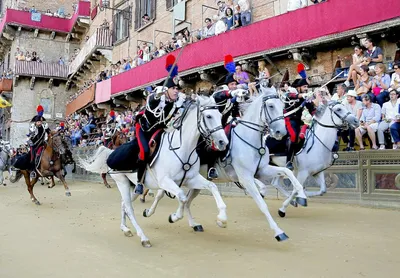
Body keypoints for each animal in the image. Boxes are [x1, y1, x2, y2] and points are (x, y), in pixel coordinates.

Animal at [79, 96, 228, 248]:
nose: (223, 142)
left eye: (220, 115)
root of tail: (111, 152)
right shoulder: (166, 182)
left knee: (124, 205)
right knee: (129, 208)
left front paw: (222, 219)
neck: (181, 148)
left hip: (134, 186)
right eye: (209, 116)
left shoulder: (191, 179)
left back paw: (125, 229)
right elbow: (182, 197)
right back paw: (143, 237)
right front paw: (173, 217)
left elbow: (212, 186)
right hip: (122, 183)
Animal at [145, 86, 308, 242]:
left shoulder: (262, 170)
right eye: (271, 106)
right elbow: (262, 204)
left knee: (187, 201)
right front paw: (279, 232)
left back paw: (192, 223)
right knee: (162, 194)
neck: (250, 139)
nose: (281, 132)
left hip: (194, 182)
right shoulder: (246, 177)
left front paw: (300, 196)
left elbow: (287, 172)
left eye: (282, 106)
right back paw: (149, 211)